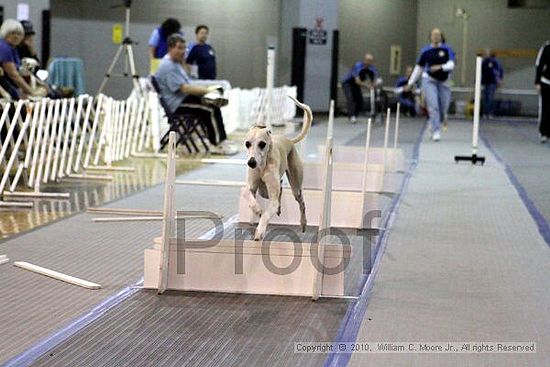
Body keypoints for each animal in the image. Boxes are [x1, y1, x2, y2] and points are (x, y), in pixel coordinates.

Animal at [246, 95, 314, 242]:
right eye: (247, 143)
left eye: (262, 144)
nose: (251, 163)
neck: (262, 165)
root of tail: (289, 140)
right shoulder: (252, 188)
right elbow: (248, 196)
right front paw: (257, 209)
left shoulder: (272, 199)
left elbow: (266, 214)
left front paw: (260, 231)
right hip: (264, 191)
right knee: (281, 186)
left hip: (296, 188)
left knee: (301, 203)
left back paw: (303, 223)